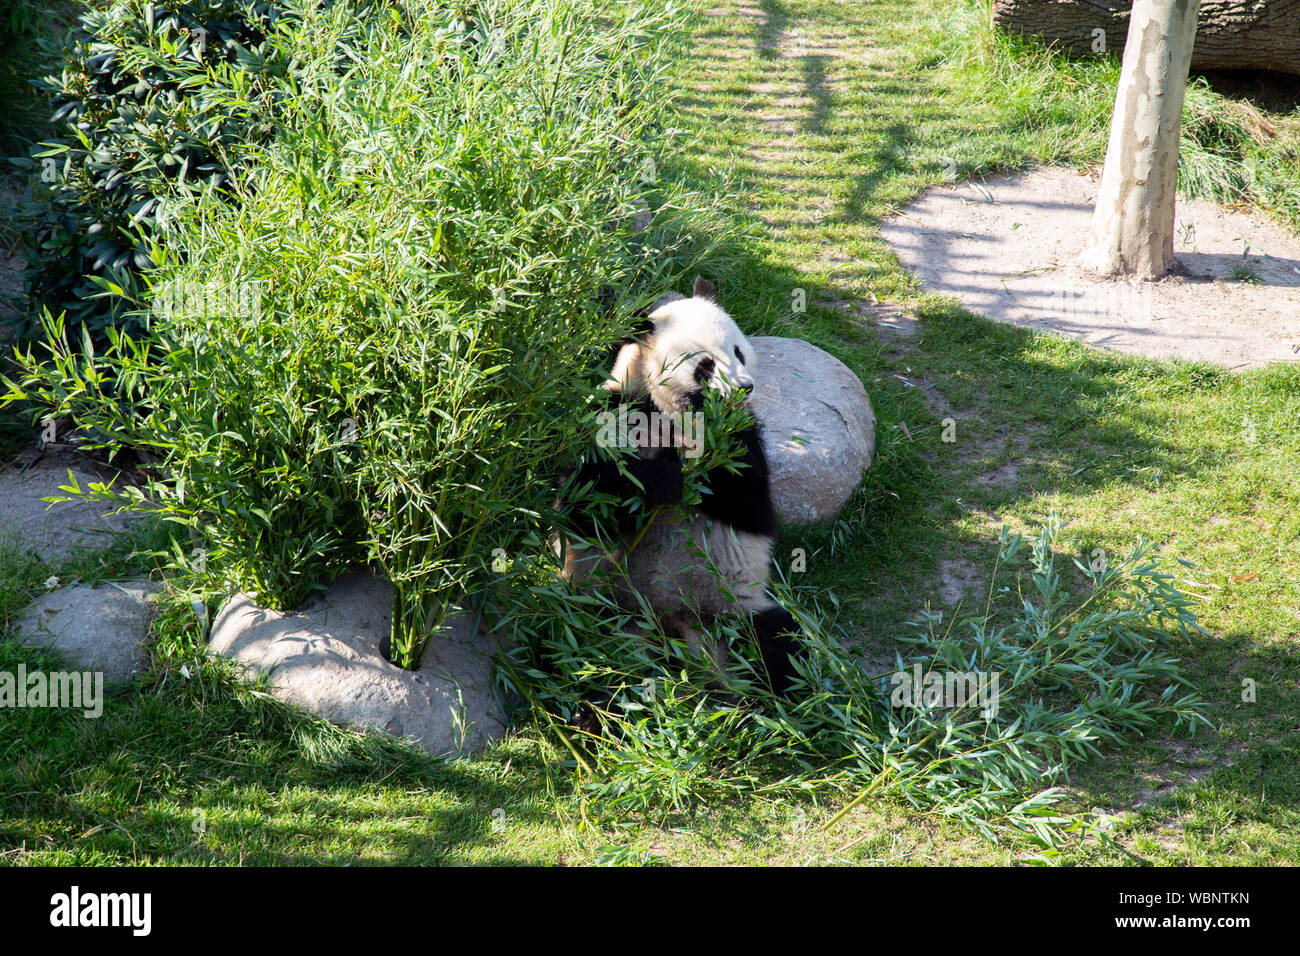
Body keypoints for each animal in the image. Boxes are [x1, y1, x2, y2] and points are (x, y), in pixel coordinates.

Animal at [556, 277, 800, 697]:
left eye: (738, 351)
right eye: (705, 365)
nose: (744, 388)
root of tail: (673, 632)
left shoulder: (744, 438)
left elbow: (749, 505)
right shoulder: (618, 409)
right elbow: (584, 504)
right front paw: (663, 481)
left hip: (735, 609)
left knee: (779, 642)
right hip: (596, 603)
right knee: (570, 642)